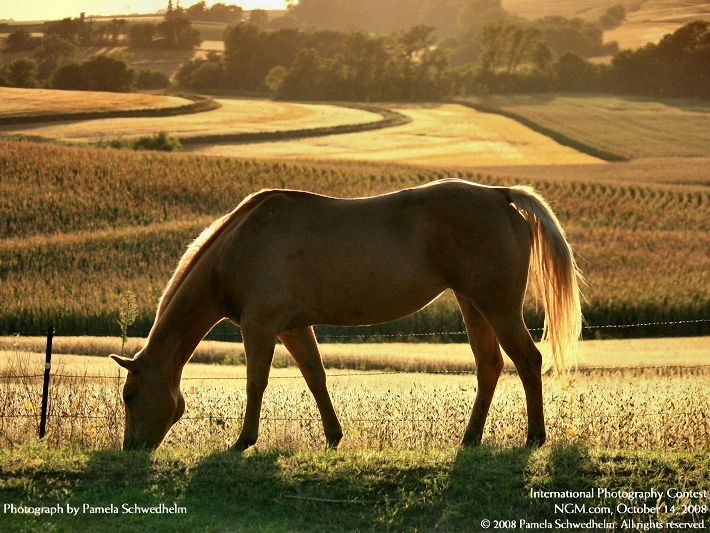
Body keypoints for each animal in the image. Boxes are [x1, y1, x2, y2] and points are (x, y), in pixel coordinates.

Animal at [108, 179, 580, 448]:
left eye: (129, 396)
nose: (132, 449)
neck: (238, 246)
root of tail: (500, 196)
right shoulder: (295, 328)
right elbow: (316, 377)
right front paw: (333, 436)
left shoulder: (260, 327)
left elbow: (255, 382)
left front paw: (243, 441)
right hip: (473, 305)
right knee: (490, 366)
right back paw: (471, 439)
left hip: (498, 308)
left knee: (527, 360)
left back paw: (535, 437)